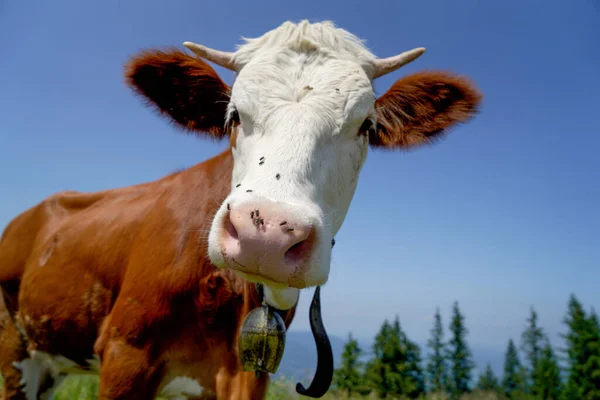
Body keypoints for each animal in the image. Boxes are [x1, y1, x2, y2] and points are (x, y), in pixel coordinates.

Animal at [0, 19, 480, 400]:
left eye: (366, 125)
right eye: (232, 114)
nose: (265, 235)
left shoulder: (246, 377)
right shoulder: (125, 355)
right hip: (14, 352)